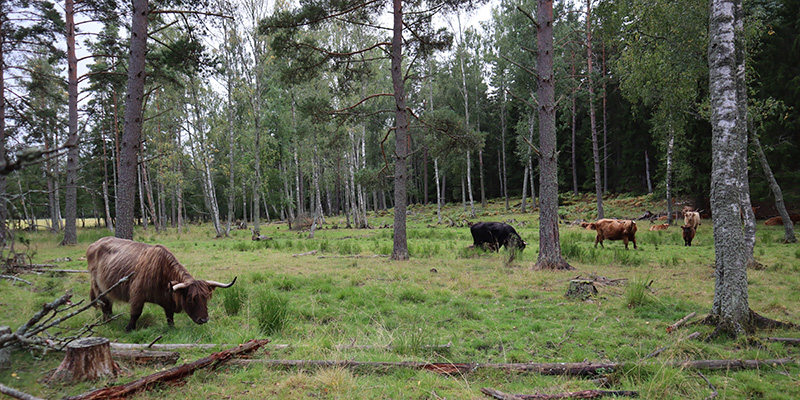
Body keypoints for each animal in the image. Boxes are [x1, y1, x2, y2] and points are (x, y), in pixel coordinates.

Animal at [89, 238, 238, 332]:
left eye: (206, 297)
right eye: (190, 299)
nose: (204, 319)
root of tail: (95, 243)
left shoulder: (168, 299)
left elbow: (169, 315)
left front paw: (172, 328)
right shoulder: (137, 294)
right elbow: (135, 313)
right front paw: (129, 329)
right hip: (99, 286)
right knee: (104, 303)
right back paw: (107, 320)